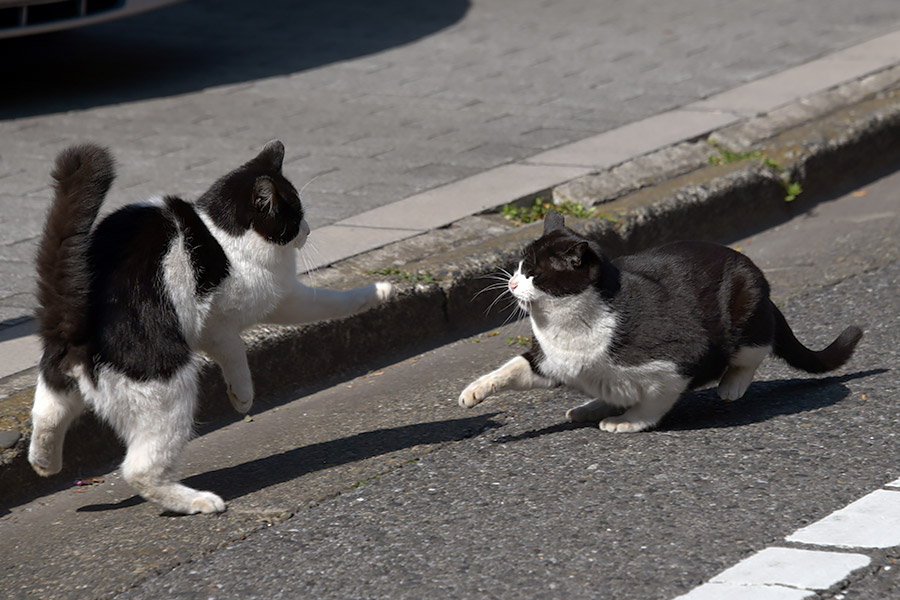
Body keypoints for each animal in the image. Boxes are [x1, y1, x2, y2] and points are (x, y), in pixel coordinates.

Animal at [29, 138, 394, 512]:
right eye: (295, 216)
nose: (307, 230)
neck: (222, 234)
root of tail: (75, 318)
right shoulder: (220, 323)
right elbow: (244, 349)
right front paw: (243, 398)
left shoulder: (279, 300)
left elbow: (326, 303)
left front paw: (379, 292)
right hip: (168, 388)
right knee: (139, 470)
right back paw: (196, 501)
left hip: (60, 376)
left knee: (47, 412)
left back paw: (45, 462)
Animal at [460, 213, 860, 434]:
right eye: (518, 267)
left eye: (533, 274)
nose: (512, 283)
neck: (567, 323)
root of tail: (746, 263)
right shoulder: (550, 362)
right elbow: (510, 369)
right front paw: (474, 391)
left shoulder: (678, 360)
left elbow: (656, 401)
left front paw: (630, 422)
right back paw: (591, 406)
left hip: (746, 305)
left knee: (753, 352)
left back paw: (731, 386)